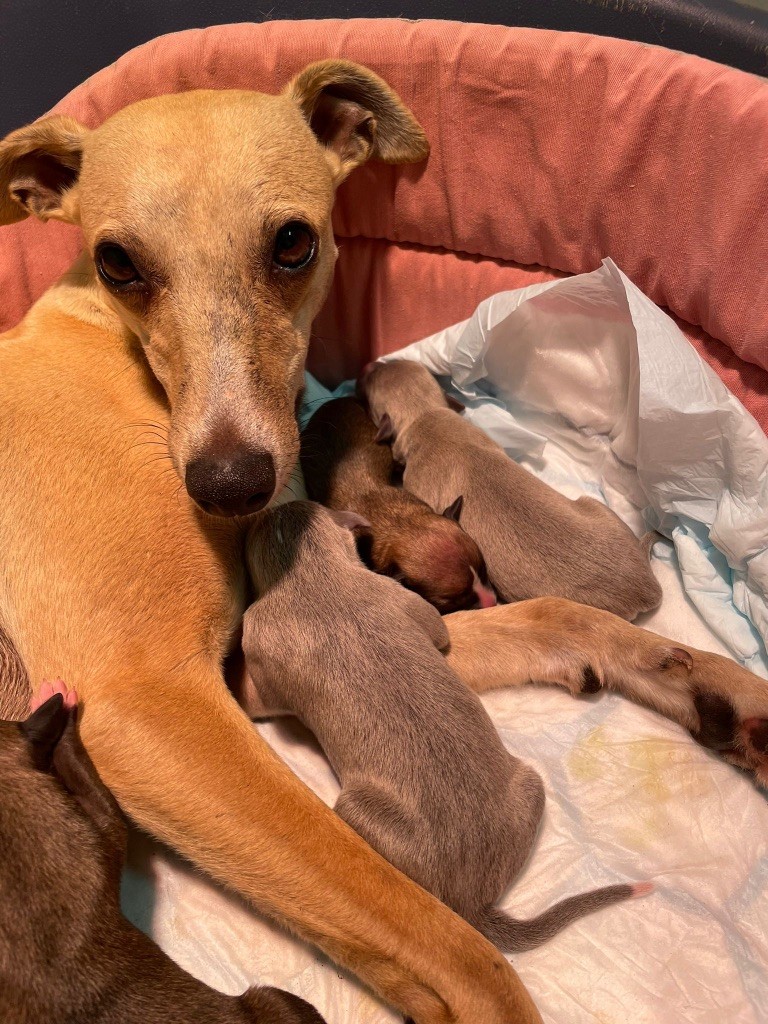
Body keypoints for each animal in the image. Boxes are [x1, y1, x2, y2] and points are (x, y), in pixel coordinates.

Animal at [243, 500, 649, 953]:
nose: (276, 503)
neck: (314, 576)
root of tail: (473, 902)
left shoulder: (260, 637)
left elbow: (260, 693)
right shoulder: (398, 597)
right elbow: (435, 630)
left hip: (356, 808)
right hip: (528, 786)